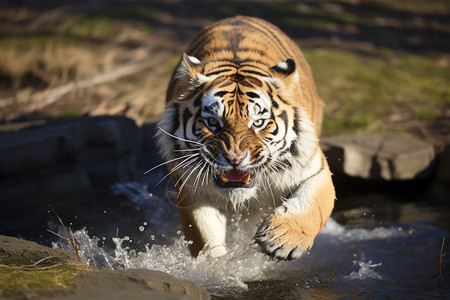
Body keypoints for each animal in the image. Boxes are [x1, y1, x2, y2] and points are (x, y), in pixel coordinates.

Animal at [156, 15, 336, 260]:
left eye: (258, 123)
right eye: (213, 122)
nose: (234, 159)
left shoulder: (314, 169)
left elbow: (312, 206)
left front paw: (280, 239)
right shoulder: (191, 190)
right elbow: (205, 238)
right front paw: (216, 266)